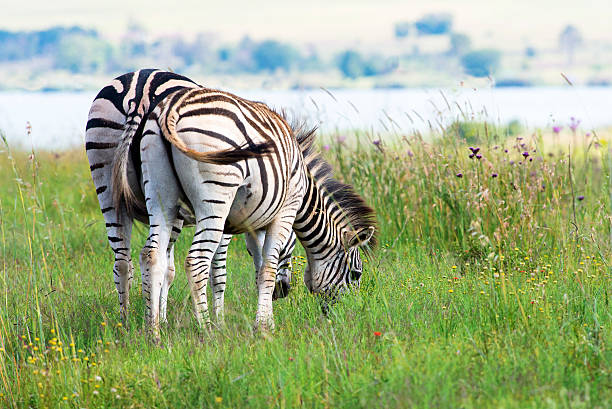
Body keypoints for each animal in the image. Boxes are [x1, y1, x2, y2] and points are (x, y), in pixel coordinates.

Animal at [86, 68, 296, 326]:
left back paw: (124, 324)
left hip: (107, 181)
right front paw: (219, 320)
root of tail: (138, 92)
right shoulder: (223, 218)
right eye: (293, 242)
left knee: (123, 261)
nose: (282, 291)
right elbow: (218, 271)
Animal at [112, 86, 376, 332]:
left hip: (160, 195)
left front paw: (266, 321)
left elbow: (260, 270)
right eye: (356, 274)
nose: (345, 316)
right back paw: (207, 330)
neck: (303, 189)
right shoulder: (285, 212)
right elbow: (268, 268)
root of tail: (171, 108)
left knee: (151, 255)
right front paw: (264, 327)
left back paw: (153, 332)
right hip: (215, 197)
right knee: (196, 261)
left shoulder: (253, 222)